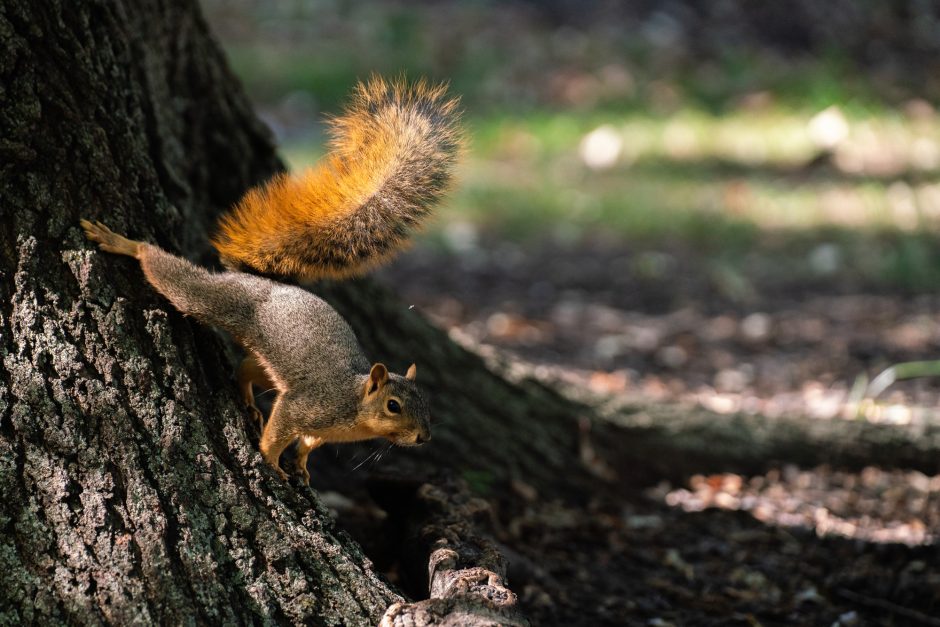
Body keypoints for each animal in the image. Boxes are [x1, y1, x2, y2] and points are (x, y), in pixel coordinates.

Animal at [80, 77, 462, 484]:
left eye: (426, 402)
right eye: (393, 405)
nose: (424, 437)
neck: (355, 408)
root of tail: (260, 281)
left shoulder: (318, 425)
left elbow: (307, 443)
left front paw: (302, 465)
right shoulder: (306, 405)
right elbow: (281, 429)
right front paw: (271, 460)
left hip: (271, 369)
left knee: (246, 368)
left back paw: (248, 400)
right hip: (218, 300)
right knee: (174, 279)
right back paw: (127, 244)